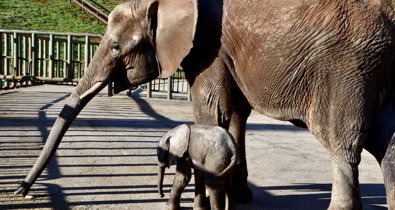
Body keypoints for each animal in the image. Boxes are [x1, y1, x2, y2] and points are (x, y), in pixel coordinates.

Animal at [13, 0, 395, 209]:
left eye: (118, 47)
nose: (21, 190)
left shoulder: (210, 44)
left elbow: (212, 111)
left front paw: (204, 203)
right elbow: (235, 114)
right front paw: (237, 197)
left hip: (347, 67)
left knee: (342, 143)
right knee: (388, 145)